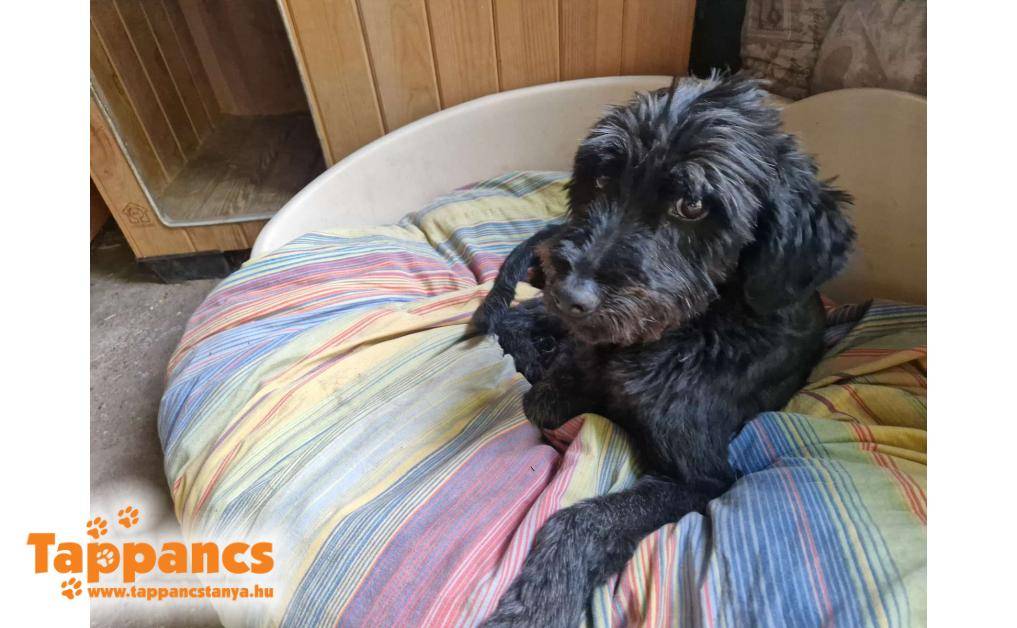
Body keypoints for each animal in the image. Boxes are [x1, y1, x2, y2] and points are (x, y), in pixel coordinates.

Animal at [472, 74, 855, 627]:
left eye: (692, 205)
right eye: (602, 177)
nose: (572, 295)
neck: (677, 337)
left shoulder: (701, 478)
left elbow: (584, 520)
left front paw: (534, 607)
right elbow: (543, 398)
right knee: (516, 318)